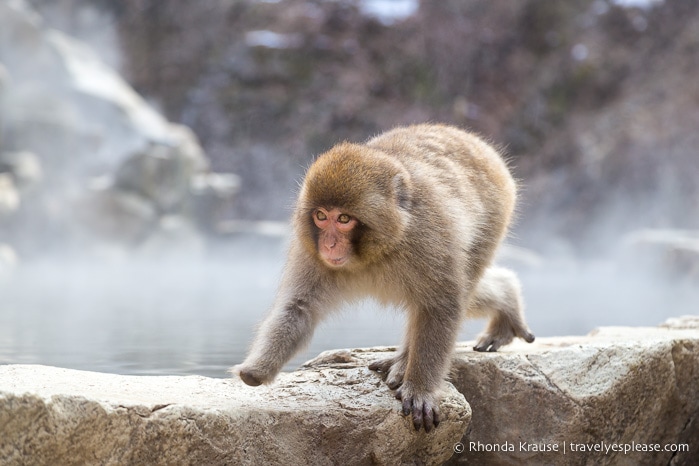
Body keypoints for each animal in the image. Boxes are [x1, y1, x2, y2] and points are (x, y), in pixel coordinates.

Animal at [235, 124, 536, 434]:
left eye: (343, 219)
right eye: (321, 216)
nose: (329, 245)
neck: (374, 251)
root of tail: (475, 142)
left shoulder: (430, 236)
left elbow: (442, 305)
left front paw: (421, 390)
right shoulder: (310, 250)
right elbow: (299, 306)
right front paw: (256, 370)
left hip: (494, 215)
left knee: (459, 288)